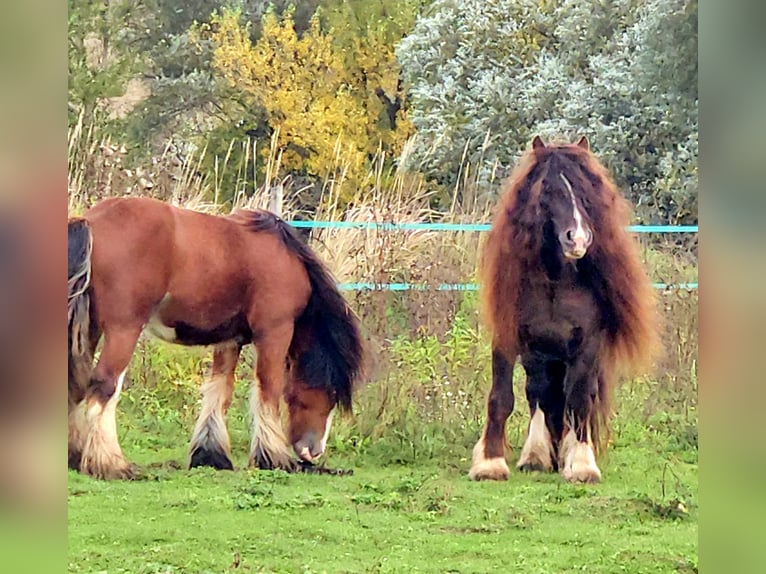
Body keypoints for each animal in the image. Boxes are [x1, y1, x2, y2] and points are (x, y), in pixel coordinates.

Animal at [67, 198, 368, 482]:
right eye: (331, 393)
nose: (313, 452)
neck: (283, 259)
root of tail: (91, 221)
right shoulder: (274, 332)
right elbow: (268, 390)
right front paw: (273, 458)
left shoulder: (229, 340)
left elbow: (220, 390)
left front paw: (211, 455)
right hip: (123, 330)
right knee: (105, 386)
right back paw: (111, 464)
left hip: (90, 329)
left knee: (77, 384)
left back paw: (76, 457)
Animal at [472, 137, 664, 484]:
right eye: (547, 189)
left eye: (587, 189)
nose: (579, 239)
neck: (554, 281)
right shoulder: (508, 338)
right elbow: (501, 397)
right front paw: (490, 462)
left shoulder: (586, 346)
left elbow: (578, 402)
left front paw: (582, 465)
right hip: (538, 355)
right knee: (537, 393)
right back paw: (536, 455)